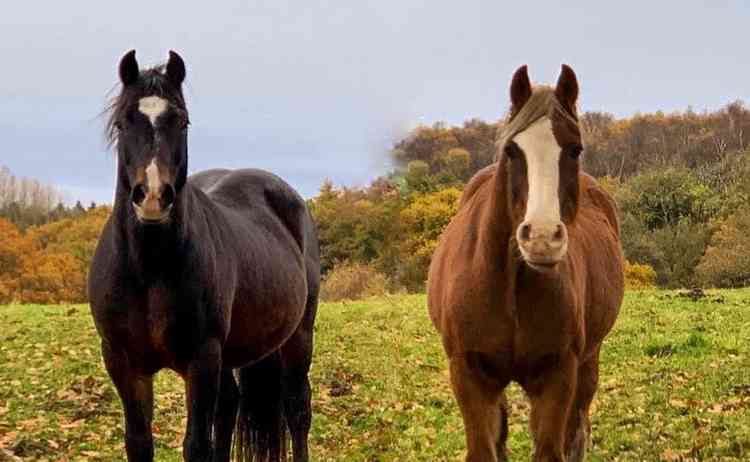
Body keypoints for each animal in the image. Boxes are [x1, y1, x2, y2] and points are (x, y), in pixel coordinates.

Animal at [90, 50, 320, 462]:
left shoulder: (202, 360)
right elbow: (139, 441)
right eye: (122, 122)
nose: (153, 196)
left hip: (298, 336)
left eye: (182, 121)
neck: (148, 271)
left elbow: (197, 444)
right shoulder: (123, 362)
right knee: (229, 407)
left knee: (297, 409)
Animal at [428, 66, 628, 462]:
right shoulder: (469, 375)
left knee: (577, 430)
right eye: (511, 150)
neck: (510, 286)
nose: (541, 237)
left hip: (589, 362)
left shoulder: (558, 376)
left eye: (574, 149)